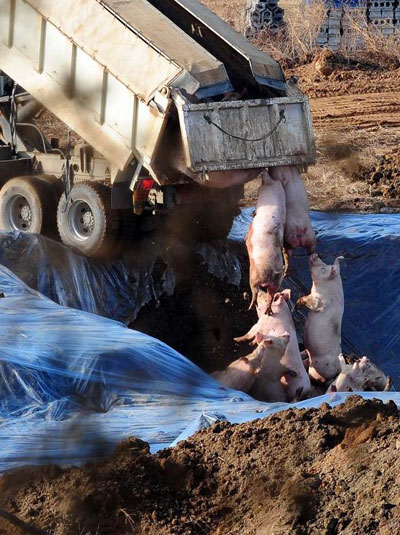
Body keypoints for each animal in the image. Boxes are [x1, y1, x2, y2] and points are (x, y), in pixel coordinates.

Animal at [245, 171, 286, 314]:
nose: (264, 171)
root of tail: (274, 271)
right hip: (275, 284)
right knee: (270, 296)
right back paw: (268, 312)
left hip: (254, 276)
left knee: (255, 292)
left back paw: (252, 307)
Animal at [296, 256, 346, 386]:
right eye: (324, 264)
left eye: (323, 268)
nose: (315, 255)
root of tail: (338, 369)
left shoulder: (320, 302)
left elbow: (310, 301)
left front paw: (297, 304)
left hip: (319, 369)